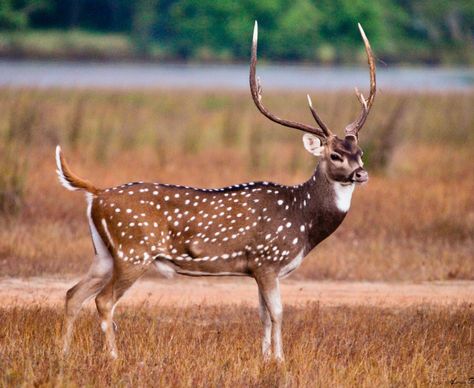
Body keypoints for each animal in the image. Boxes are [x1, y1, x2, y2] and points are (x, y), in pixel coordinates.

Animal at [57, 22, 376, 360]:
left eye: (360, 152)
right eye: (335, 155)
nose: (361, 173)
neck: (302, 222)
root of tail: (96, 194)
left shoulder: (257, 268)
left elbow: (263, 315)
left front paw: (265, 358)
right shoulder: (267, 260)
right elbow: (278, 313)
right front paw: (280, 360)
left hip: (105, 253)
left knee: (73, 293)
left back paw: (63, 353)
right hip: (133, 252)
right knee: (103, 300)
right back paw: (114, 357)